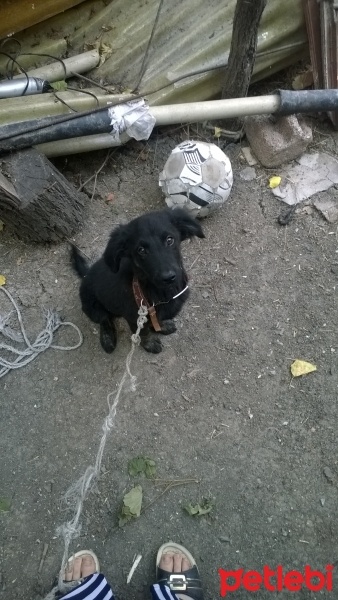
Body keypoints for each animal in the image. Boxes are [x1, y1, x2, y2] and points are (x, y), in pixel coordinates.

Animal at [71, 210, 203, 354]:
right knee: (104, 319)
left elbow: (155, 319)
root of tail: (86, 274)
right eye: (141, 250)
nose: (168, 278)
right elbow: (143, 332)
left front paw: (161, 326)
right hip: (92, 308)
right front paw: (149, 343)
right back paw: (107, 338)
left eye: (170, 240)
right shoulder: (133, 318)